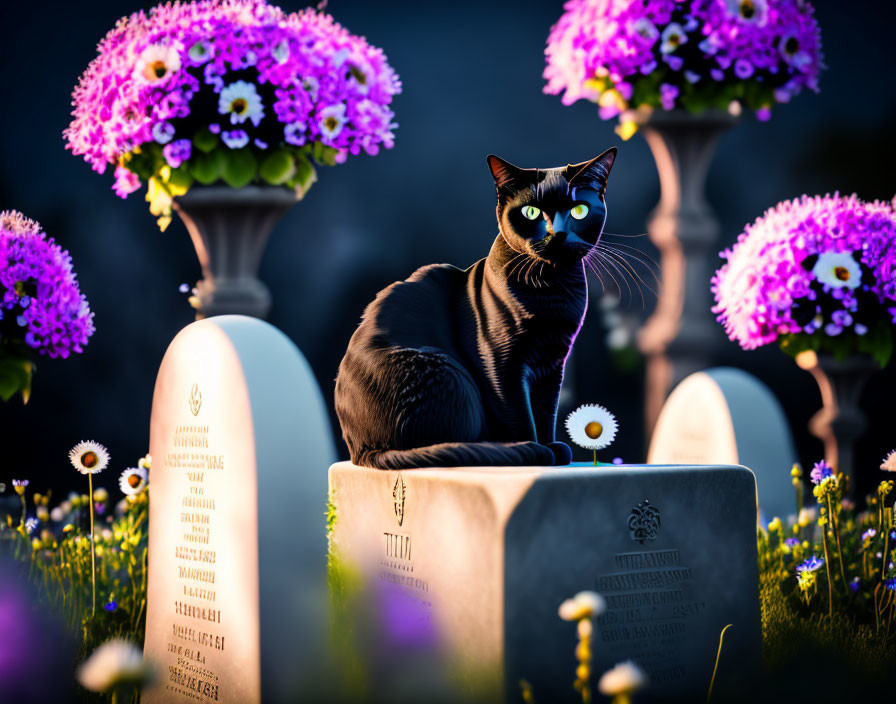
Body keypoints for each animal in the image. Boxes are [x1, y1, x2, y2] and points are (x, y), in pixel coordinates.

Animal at [336, 148, 616, 468]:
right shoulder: (500, 360)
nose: (556, 233)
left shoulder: (554, 363)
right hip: (450, 373)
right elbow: (519, 413)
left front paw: (552, 447)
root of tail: (361, 448)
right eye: (530, 212)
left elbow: (546, 411)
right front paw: (536, 450)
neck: (551, 292)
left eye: (578, 211)